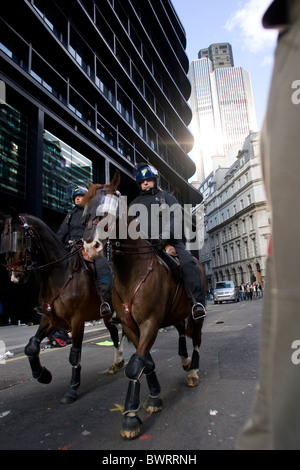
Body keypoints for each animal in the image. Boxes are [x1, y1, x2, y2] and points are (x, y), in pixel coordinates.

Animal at [0, 210, 124, 404]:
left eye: (20, 239)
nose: (15, 276)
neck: (59, 274)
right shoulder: (50, 318)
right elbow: (31, 346)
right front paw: (42, 375)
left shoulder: (77, 320)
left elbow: (74, 354)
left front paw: (72, 389)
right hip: (106, 315)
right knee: (114, 334)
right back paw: (117, 361)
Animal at [81, 173, 207, 440]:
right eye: (85, 209)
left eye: (109, 209)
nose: (90, 246)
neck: (133, 270)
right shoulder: (130, 326)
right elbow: (144, 360)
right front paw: (154, 397)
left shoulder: (150, 322)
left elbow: (135, 365)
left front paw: (130, 417)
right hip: (177, 315)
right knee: (182, 333)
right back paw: (184, 361)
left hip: (196, 316)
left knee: (197, 340)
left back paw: (193, 371)